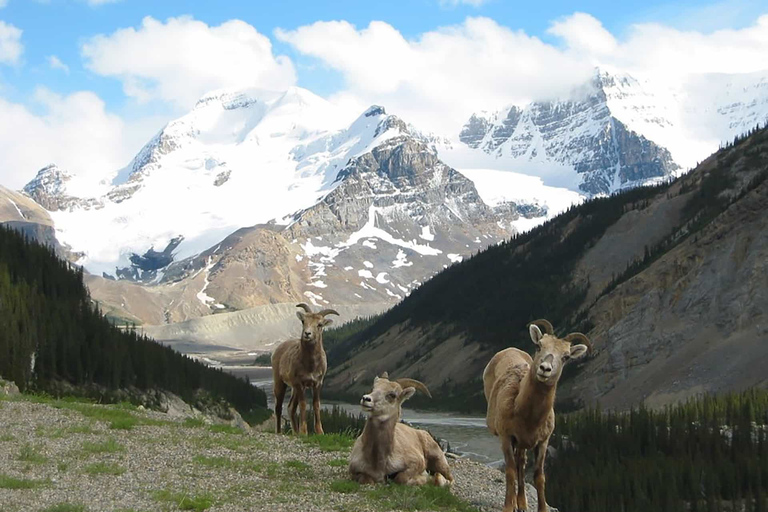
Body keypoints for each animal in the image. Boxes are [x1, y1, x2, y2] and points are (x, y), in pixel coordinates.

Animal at [272, 304, 340, 436]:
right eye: (303, 321)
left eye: (320, 324)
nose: (307, 334)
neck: (310, 366)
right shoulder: (300, 384)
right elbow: (303, 405)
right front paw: (304, 432)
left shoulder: (317, 384)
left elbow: (316, 405)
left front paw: (319, 431)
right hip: (280, 383)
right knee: (278, 407)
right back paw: (279, 432)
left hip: (293, 389)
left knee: (291, 408)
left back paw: (295, 432)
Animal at [484, 320, 592, 512]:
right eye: (539, 345)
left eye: (566, 356)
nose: (545, 369)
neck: (528, 417)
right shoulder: (506, 437)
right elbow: (510, 471)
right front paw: (508, 506)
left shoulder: (542, 442)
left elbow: (538, 477)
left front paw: (541, 508)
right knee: (516, 466)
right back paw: (516, 503)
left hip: (522, 445)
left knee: (521, 463)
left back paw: (522, 503)